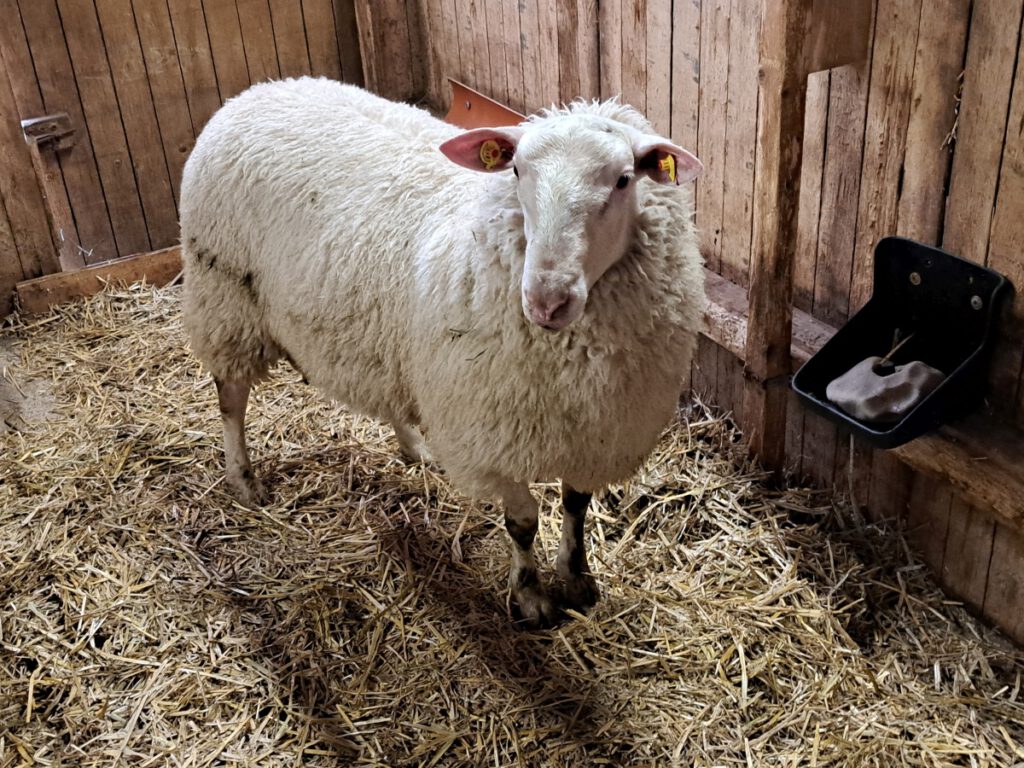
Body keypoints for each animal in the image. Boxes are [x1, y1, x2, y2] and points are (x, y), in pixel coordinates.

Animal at [180, 78, 704, 626]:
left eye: (624, 181)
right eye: (516, 171)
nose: (547, 300)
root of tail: (259, 90)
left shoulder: (597, 432)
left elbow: (576, 506)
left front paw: (577, 578)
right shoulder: (489, 437)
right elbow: (522, 522)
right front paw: (531, 596)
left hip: (384, 333)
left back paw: (416, 447)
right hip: (226, 301)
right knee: (231, 400)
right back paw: (243, 478)